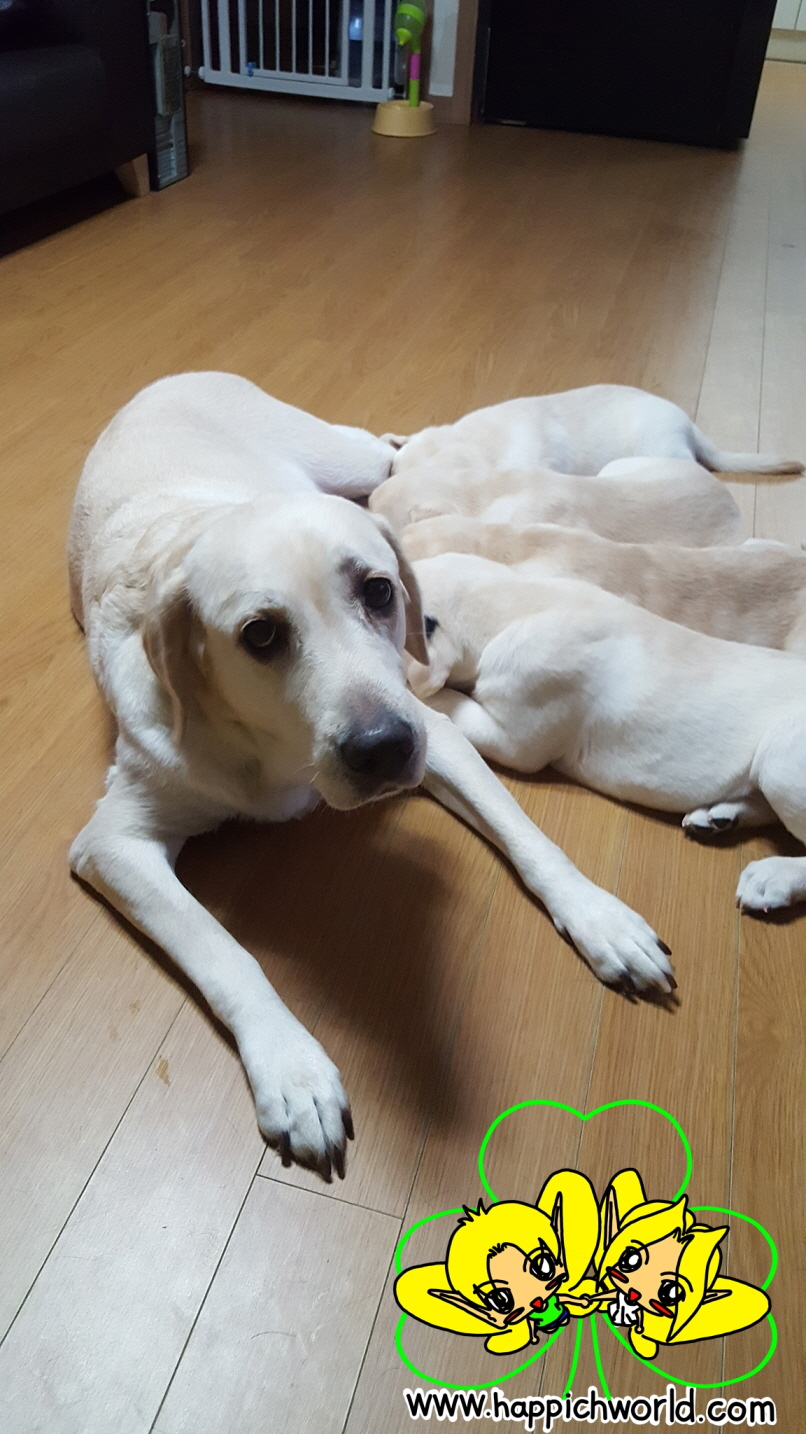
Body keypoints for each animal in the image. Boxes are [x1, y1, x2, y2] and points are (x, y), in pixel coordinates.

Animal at [68, 373, 674, 1179]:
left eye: (380, 591)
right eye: (260, 635)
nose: (383, 749)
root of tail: (166, 380)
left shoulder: (435, 732)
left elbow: (530, 836)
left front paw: (601, 917)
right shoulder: (115, 840)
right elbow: (222, 950)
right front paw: (291, 1068)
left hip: (340, 454)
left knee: (387, 451)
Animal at [408, 552, 806, 912]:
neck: (514, 604)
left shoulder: (513, 738)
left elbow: (452, 705)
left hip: (781, 761)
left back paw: (773, 878)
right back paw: (719, 817)